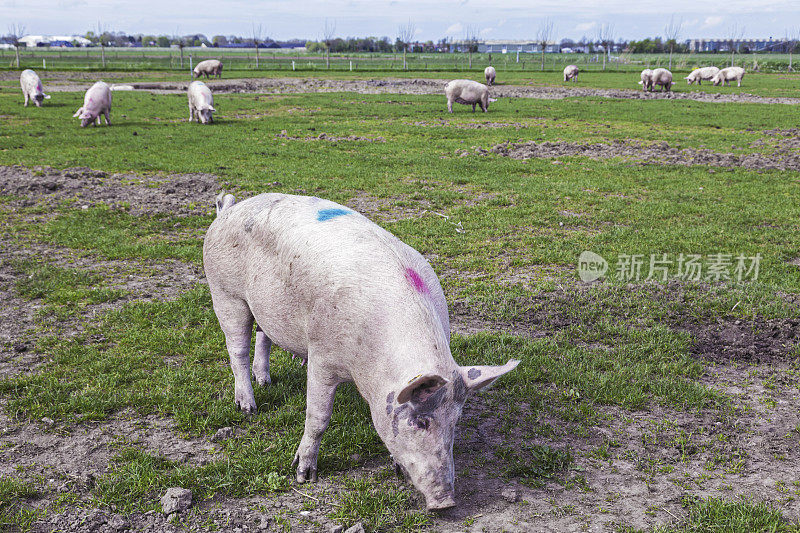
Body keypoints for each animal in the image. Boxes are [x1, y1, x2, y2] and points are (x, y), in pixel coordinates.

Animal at [203, 193, 520, 510]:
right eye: (421, 421)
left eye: (455, 422)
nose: (446, 502)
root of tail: (228, 210)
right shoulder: (322, 355)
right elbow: (318, 417)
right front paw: (304, 475)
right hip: (225, 294)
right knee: (237, 350)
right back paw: (248, 408)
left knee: (263, 335)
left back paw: (265, 381)